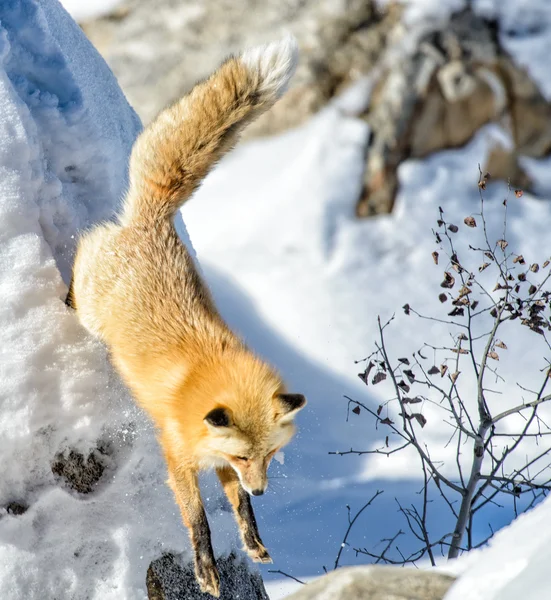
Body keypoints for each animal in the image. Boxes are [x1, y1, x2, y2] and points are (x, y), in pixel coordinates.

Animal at [69, 36, 306, 596]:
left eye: (266, 456)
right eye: (246, 457)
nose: (264, 490)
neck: (204, 377)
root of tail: (153, 222)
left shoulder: (215, 459)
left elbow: (237, 508)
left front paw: (253, 540)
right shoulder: (178, 456)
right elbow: (197, 521)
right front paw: (206, 571)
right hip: (91, 305)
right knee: (80, 253)